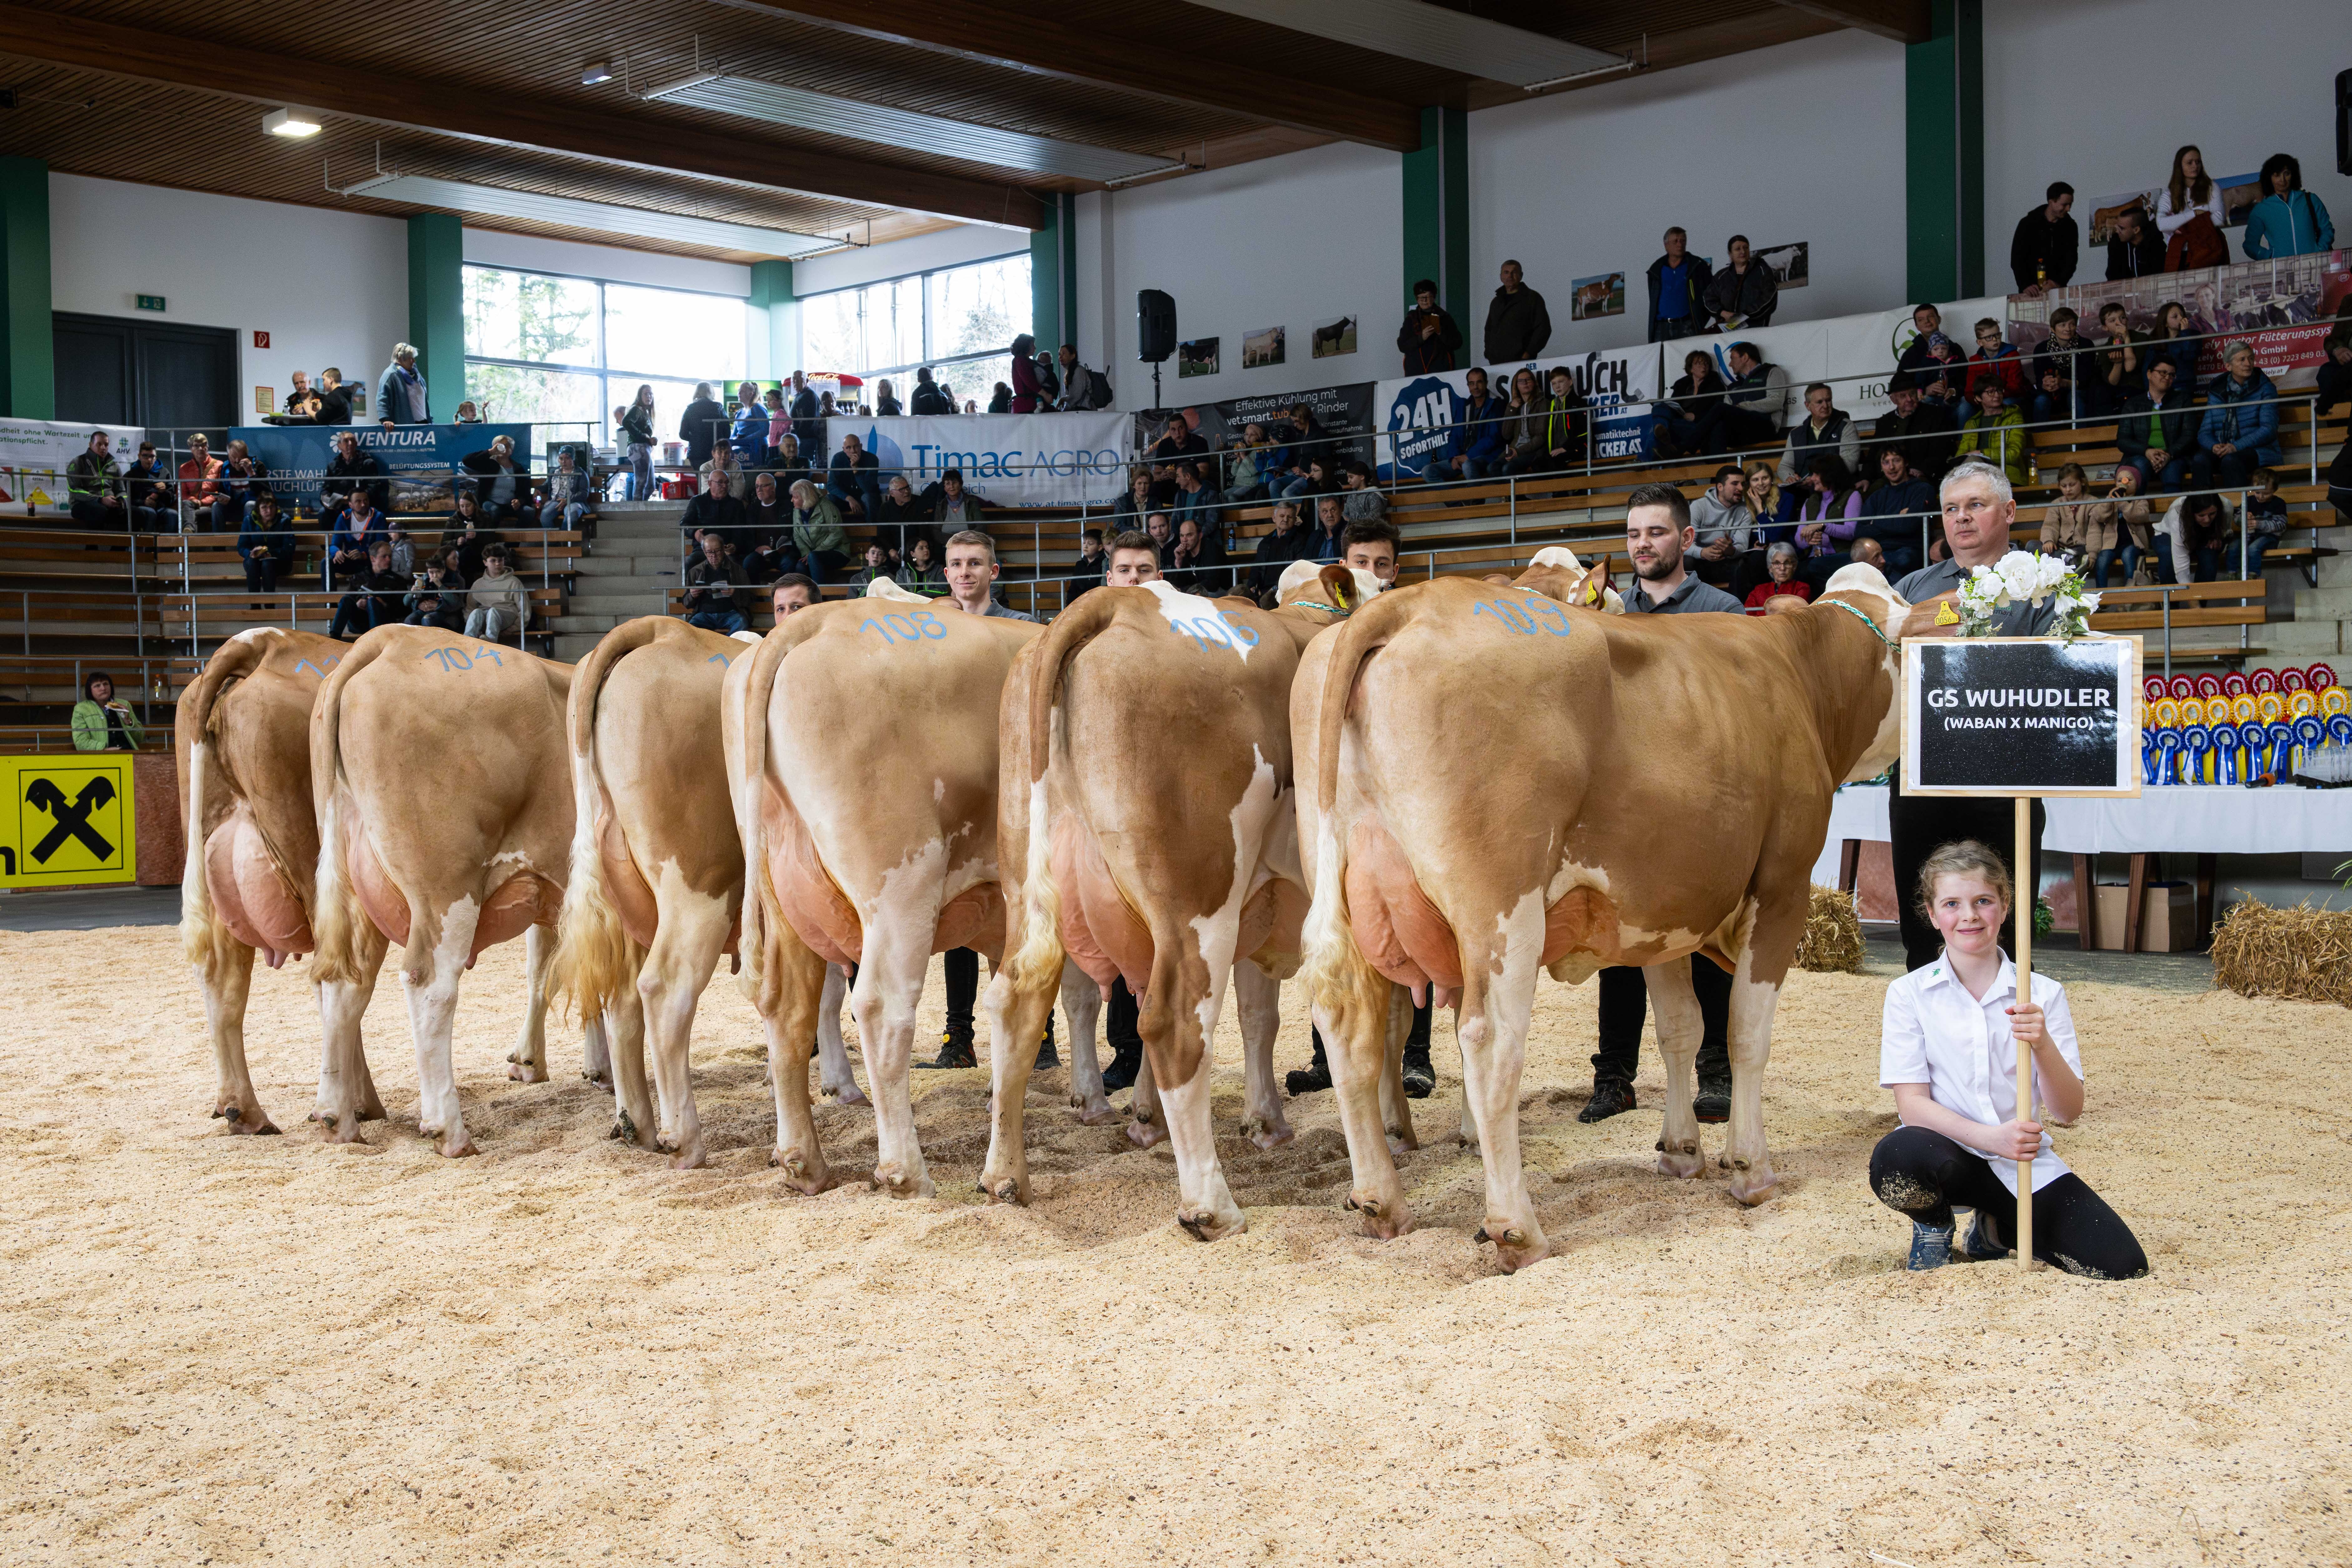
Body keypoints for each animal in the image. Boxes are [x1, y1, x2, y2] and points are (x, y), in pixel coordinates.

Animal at [310, 620, 576, 1152]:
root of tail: (390, 637)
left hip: (354, 883)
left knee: (344, 981)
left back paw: (337, 1116)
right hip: (446, 887)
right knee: (430, 985)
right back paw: (448, 1128)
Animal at [1298, 571, 1919, 1269]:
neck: (1796, 674)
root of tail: (1409, 599)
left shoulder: (1663, 917)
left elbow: (1680, 1028)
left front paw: (1681, 1151)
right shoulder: (1781, 887)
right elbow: (1744, 1033)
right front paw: (1749, 1168)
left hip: (1347, 891)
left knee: (1348, 1029)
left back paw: (1382, 1201)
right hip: (1501, 908)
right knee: (1489, 1043)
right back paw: (1515, 1227)